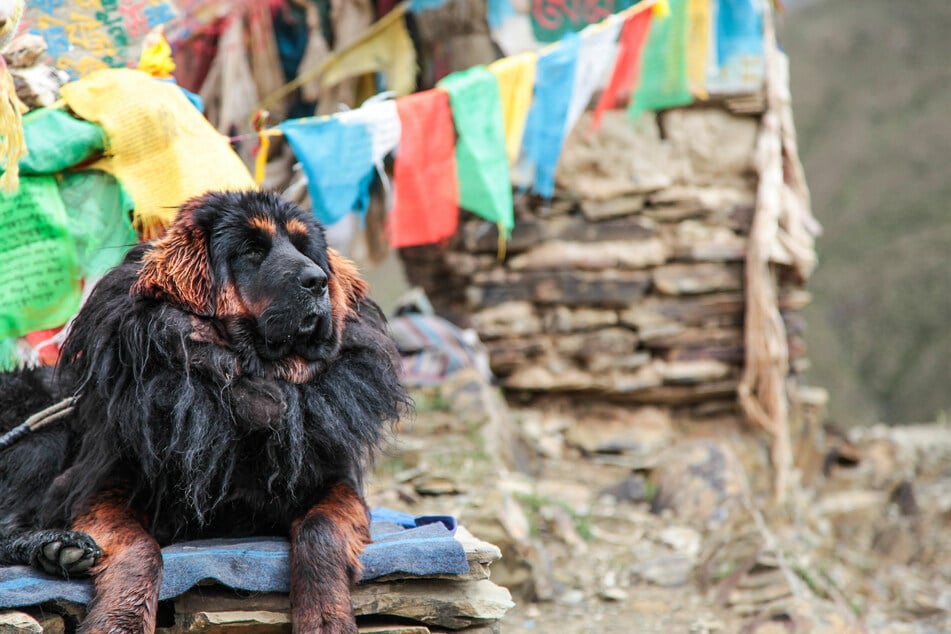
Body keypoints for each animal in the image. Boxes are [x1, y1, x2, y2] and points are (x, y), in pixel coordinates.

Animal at [0, 190, 408, 628]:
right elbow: (139, 549)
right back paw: (56, 546)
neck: (249, 384)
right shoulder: (103, 487)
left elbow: (321, 532)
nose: (318, 281)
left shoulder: (336, 481)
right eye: (251, 250)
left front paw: (326, 619)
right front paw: (120, 619)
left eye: (304, 248)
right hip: (45, 435)